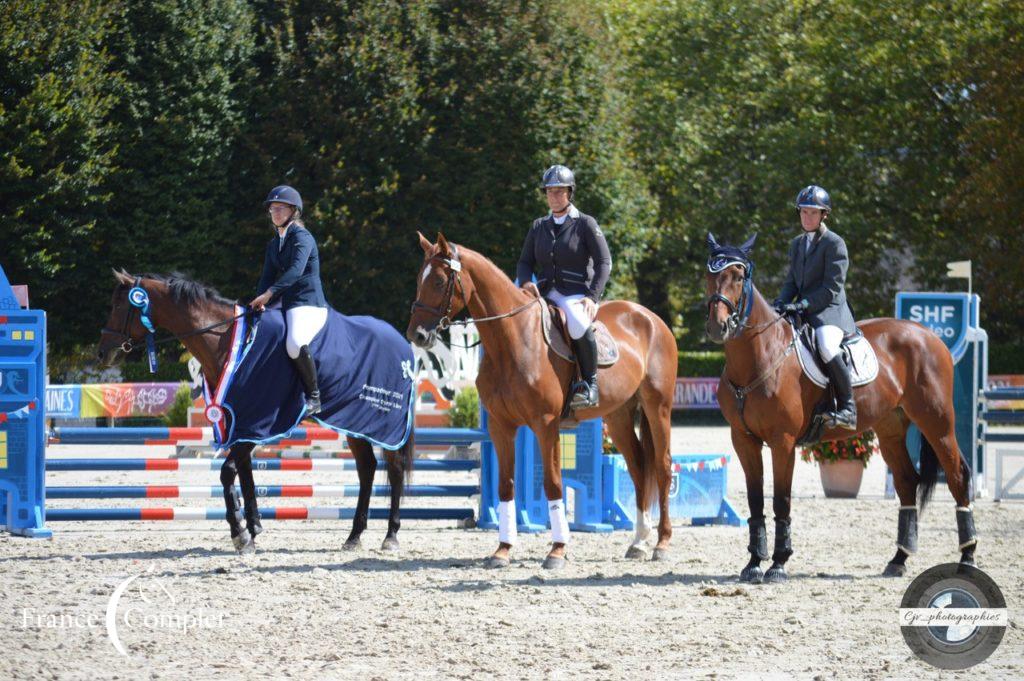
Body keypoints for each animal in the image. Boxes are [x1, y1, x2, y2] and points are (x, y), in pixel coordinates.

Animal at [96, 270, 413, 552]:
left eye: (119, 305)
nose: (102, 353)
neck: (226, 340)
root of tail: (403, 345)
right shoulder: (241, 422)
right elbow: (241, 473)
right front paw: (249, 528)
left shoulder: (260, 422)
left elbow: (229, 471)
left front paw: (242, 533)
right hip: (354, 422)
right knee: (367, 469)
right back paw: (354, 536)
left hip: (383, 423)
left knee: (395, 469)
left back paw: (391, 536)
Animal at [407, 233, 679, 569]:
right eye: (419, 279)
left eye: (440, 281)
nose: (416, 335)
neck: (512, 340)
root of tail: (651, 318)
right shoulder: (500, 426)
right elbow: (506, 485)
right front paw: (503, 549)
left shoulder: (545, 424)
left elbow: (553, 483)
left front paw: (557, 549)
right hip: (618, 416)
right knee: (639, 467)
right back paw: (639, 542)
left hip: (658, 408)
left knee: (662, 466)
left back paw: (662, 543)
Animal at [704, 231, 974, 581]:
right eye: (709, 276)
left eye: (738, 277)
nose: (717, 327)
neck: (758, 357)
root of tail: (930, 335)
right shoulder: (743, 440)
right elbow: (755, 501)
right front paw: (753, 563)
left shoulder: (782, 442)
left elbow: (781, 500)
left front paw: (778, 563)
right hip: (890, 428)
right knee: (906, 481)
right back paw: (898, 559)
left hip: (937, 422)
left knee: (957, 476)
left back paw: (968, 556)